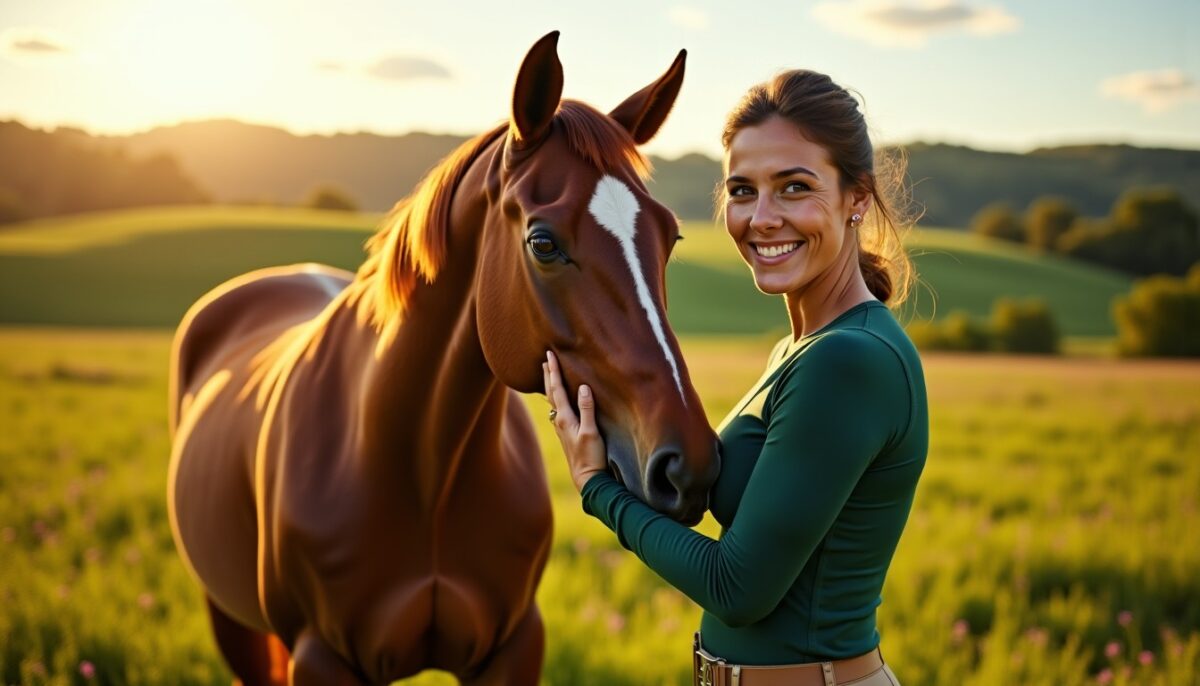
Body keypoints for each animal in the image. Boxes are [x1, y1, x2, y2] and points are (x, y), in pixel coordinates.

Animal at [167, 32, 720, 685]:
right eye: (543, 242)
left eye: (670, 236)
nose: (687, 466)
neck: (421, 469)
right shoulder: (321, 656)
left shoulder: (514, 645)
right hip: (229, 620)